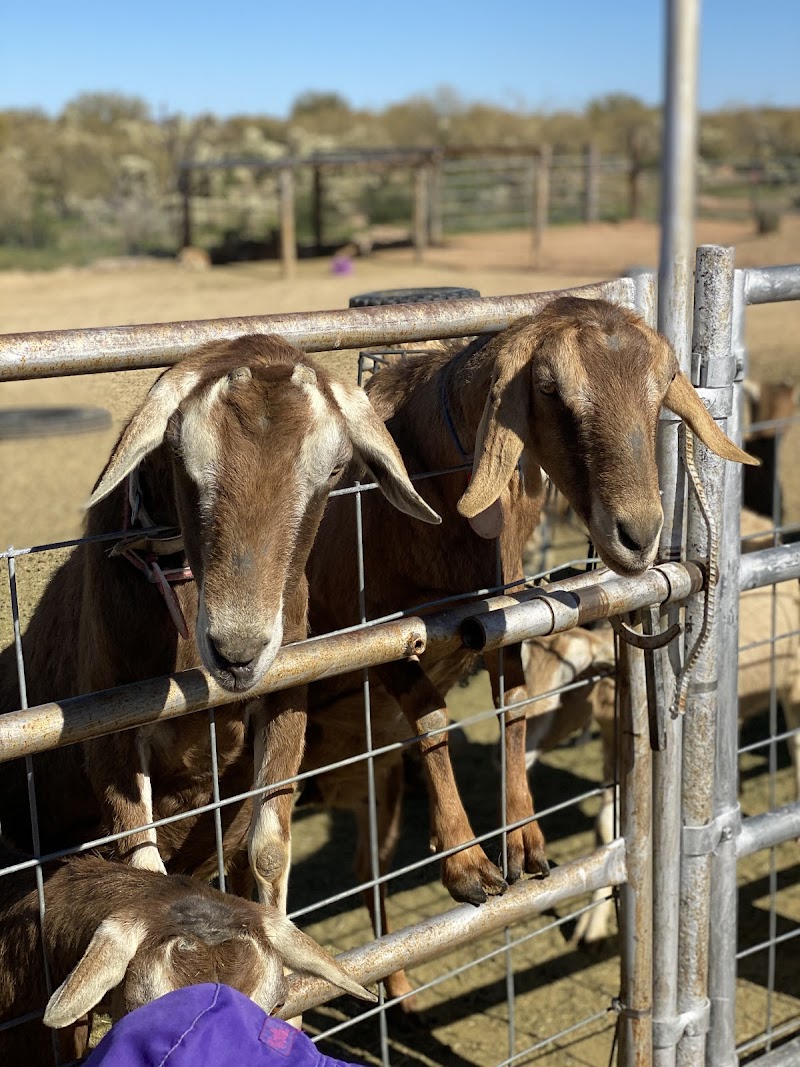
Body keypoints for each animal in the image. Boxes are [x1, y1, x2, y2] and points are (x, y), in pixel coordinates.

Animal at [0, 334, 438, 912]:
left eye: (335, 469)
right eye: (180, 455)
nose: (237, 651)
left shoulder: (287, 690)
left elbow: (269, 851)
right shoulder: (108, 728)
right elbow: (143, 867)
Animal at [306, 296, 756, 908]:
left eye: (664, 382)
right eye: (547, 387)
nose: (639, 536)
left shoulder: (503, 615)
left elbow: (515, 704)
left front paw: (523, 840)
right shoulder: (373, 635)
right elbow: (432, 717)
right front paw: (467, 864)